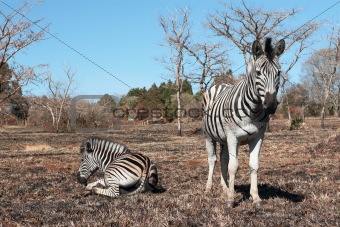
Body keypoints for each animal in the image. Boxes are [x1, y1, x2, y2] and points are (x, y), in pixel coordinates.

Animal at [203, 38, 286, 207]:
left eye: (279, 72)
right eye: (258, 73)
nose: (271, 105)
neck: (252, 111)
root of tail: (220, 84)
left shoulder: (258, 137)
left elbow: (253, 165)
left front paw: (255, 197)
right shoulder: (233, 137)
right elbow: (233, 167)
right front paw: (230, 200)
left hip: (223, 139)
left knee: (223, 159)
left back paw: (225, 187)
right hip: (209, 135)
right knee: (212, 160)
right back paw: (209, 188)